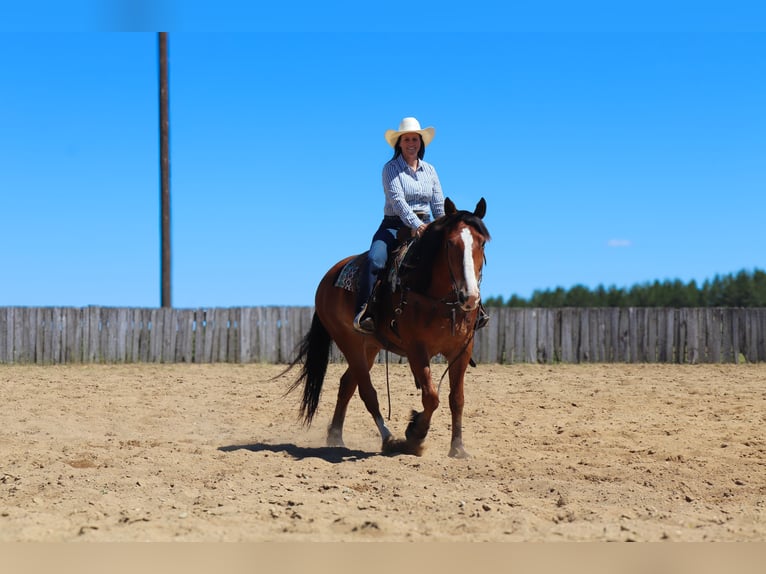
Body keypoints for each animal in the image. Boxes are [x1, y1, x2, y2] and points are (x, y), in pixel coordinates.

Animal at [282, 198, 492, 460]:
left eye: (481, 243)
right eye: (451, 243)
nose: (470, 297)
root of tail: (327, 278)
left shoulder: (462, 350)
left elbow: (457, 398)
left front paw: (458, 448)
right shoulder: (416, 350)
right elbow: (431, 397)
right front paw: (415, 434)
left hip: (370, 347)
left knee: (347, 384)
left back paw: (336, 435)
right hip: (348, 342)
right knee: (367, 392)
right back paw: (389, 439)